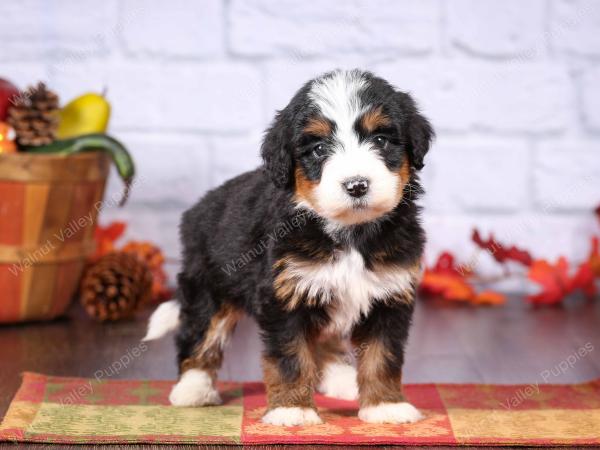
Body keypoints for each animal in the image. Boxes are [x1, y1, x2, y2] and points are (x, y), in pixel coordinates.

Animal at [145, 68, 436, 428]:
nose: (356, 185)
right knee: (200, 334)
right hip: (208, 285)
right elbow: (290, 356)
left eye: (381, 140)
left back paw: (341, 378)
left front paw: (385, 405)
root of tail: (199, 208)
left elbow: (382, 355)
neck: (349, 233)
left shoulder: (389, 294)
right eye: (319, 148)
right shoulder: (284, 296)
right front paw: (292, 410)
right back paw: (192, 388)